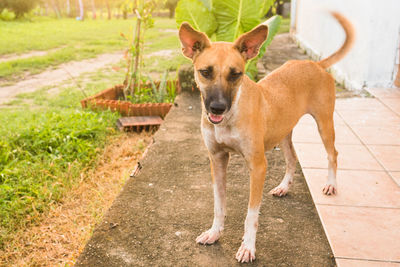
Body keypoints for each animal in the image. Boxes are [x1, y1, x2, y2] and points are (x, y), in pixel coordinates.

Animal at [180, 12, 354, 264]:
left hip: (324, 124)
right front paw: (214, 233)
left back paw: (331, 184)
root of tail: (315, 64)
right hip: (283, 133)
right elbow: (219, 205)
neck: (232, 115)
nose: (218, 108)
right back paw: (283, 187)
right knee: (291, 159)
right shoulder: (217, 160)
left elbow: (251, 214)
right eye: (205, 72)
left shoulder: (258, 166)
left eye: (236, 74)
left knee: (333, 153)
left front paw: (248, 247)